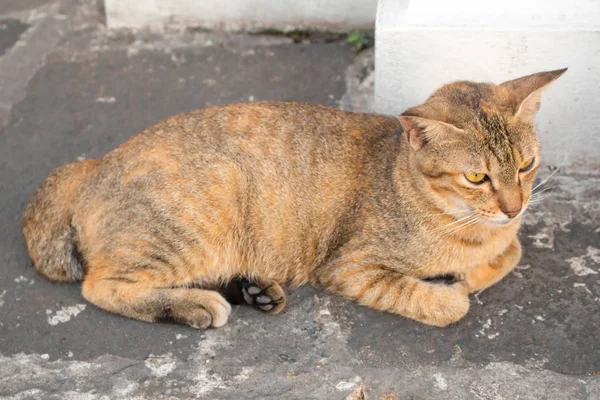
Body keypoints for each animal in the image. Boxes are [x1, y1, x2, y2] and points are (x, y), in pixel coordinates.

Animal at [22, 67, 568, 326]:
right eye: (476, 177)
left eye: (525, 165)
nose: (515, 206)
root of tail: (93, 164)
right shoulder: (350, 267)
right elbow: (451, 303)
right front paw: (454, 287)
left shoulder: (507, 233)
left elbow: (511, 252)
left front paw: (475, 270)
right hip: (203, 210)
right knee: (100, 286)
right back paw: (199, 304)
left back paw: (253, 291)